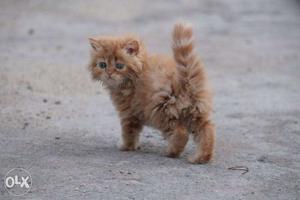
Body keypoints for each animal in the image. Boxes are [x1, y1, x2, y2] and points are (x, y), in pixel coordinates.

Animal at [88, 22, 214, 163]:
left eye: (119, 66)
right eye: (102, 65)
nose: (109, 73)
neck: (138, 72)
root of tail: (185, 81)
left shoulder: (128, 112)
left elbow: (128, 132)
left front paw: (126, 146)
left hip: (161, 111)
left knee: (181, 133)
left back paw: (171, 152)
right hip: (196, 111)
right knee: (207, 131)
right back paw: (201, 157)